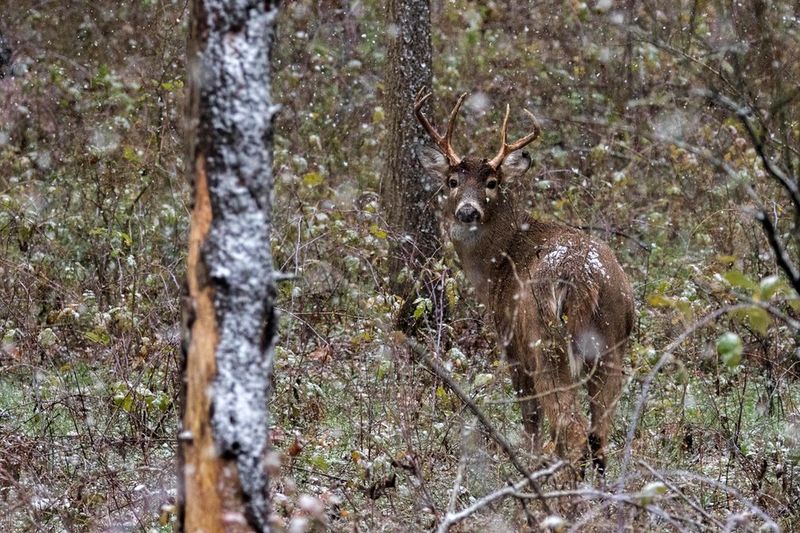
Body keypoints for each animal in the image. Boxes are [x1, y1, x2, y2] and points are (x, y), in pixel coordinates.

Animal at [416, 90, 636, 474]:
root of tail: (584, 277)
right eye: (452, 182)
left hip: (545, 341)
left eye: (491, 183)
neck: (498, 265)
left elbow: (530, 419)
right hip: (612, 342)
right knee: (599, 437)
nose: (467, 211)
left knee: (571, 431)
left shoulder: (511, 345)